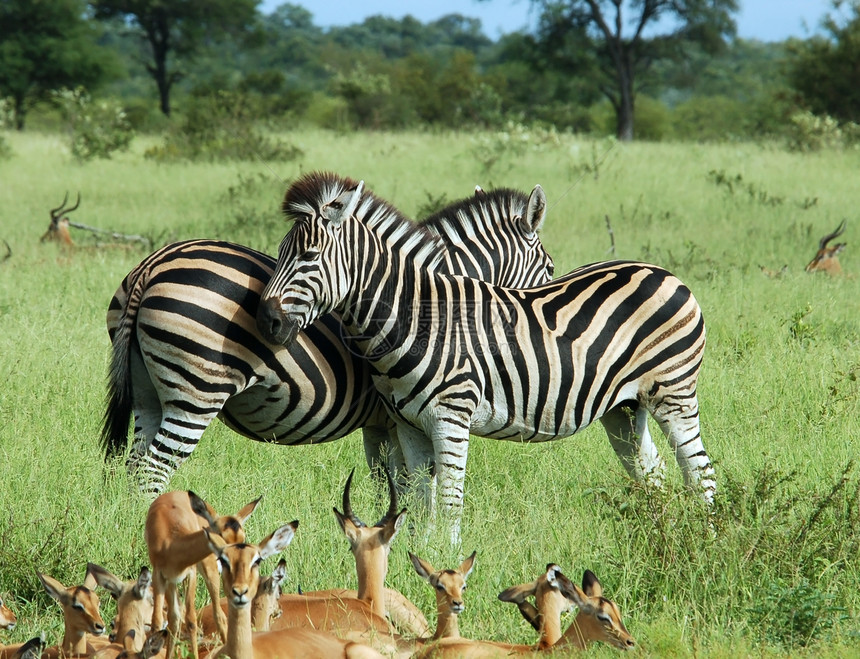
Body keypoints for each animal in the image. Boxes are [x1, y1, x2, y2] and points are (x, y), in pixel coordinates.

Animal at [104, 182, 556, 496]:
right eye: (550, 269)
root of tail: (153, 264)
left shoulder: (379, 425)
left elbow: (386, 487)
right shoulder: (398, 420)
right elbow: (406, 487)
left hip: (147, 391)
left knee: (134, 468)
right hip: (197, 391)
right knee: (153, 472)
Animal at [146, 490, 260, 659]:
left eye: (242, 537)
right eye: (221, 534)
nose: (237, 559)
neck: (171, 544)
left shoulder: (191, 573)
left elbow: (191, 620)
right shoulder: (160, 576)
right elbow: (157, 622)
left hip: (209, 569)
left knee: (219, 615)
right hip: (172, 582)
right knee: (174, 619)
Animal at [256, 173, 720, 544]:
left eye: (309, 256)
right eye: (282, 253)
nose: (267, 321)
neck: (414, 318)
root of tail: (661, 271)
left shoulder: (448, 419)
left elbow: (447, 501)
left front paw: (446, 564)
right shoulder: (406, 425)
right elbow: (416, 499)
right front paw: (412, 560)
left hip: (674, 391)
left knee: (700, 472)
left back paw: (706, 543)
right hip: (624, 407)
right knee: (653, 472)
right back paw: (660, 534)